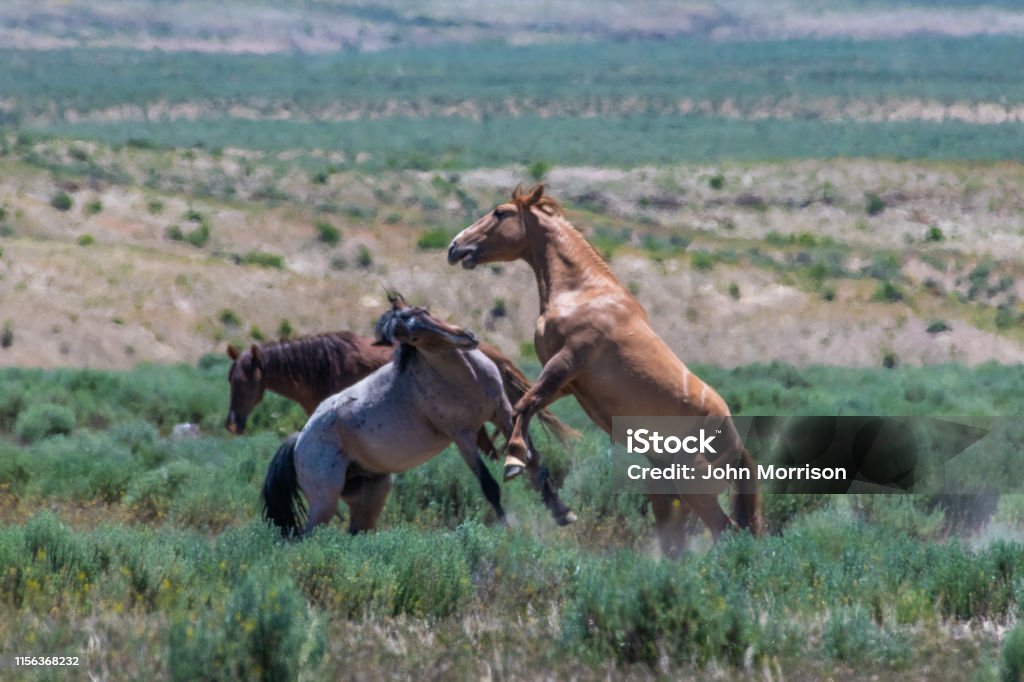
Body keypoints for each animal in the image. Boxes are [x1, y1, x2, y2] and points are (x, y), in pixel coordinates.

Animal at [260, 294, 573, 532]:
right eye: (412, 337)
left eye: (423, 310)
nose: (466, 337)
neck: (463, 378)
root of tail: (299, 440)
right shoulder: (462, 436)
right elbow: (489, 485)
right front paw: (508, 528)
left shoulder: (502, 412)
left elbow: (534, 460)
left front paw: (562, 512)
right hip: (324, 503)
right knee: (307, 537)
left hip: (371, 494)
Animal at [448, 182, 761, 552]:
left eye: (500, 213)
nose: (455, 246)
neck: (584, 292)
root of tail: (736, 443)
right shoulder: (567, 384)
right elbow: (523, 405)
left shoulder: (567, 362)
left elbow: (525, 404)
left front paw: (513, 461)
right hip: (669, 491)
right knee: (680, 542)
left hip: (696, 486)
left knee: (725, 530)